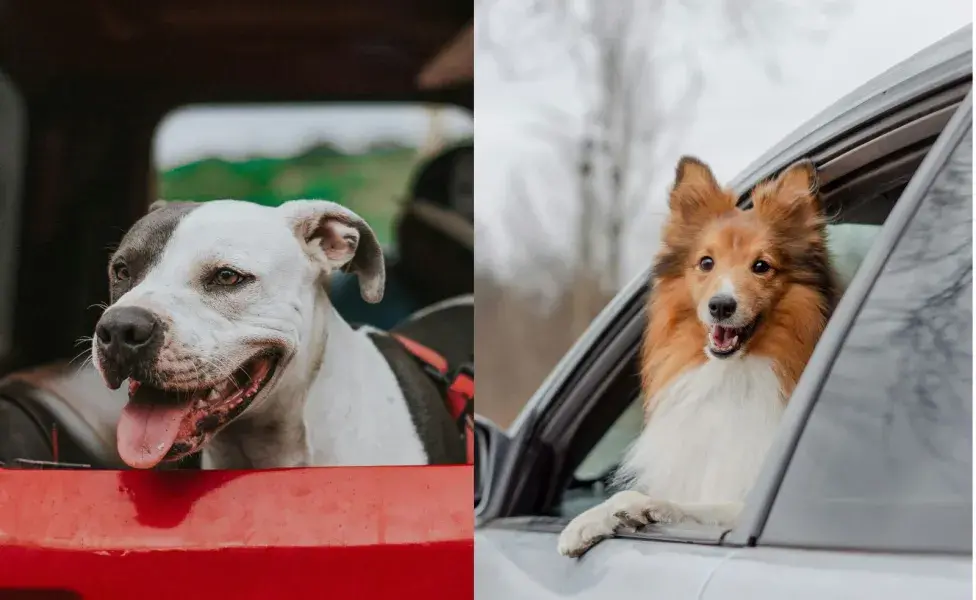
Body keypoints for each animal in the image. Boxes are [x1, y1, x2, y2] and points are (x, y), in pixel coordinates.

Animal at [556, 156, 840, 556]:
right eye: (706, 263)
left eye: (761, 266)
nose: (721, 306)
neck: (733, 374)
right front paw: (585, 523)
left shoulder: (742, 501)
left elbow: (688, 505)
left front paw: (642, 508)